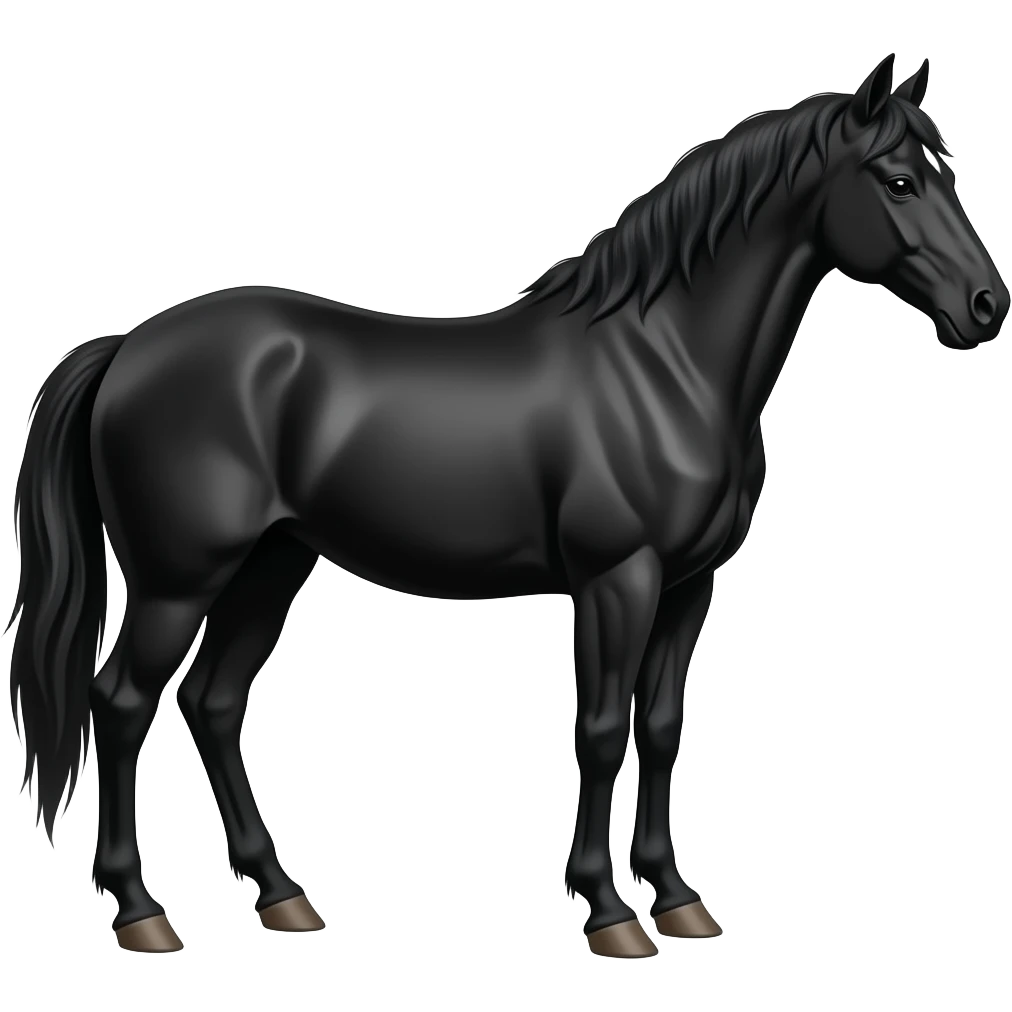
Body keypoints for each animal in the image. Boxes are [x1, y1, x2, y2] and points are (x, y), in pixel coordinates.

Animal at [6, 53, 1007, 957]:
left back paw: (284, 895)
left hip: (271, 563)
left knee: (212, 703)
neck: (663, 366)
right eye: (900, 180)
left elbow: (660, 727)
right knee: (120, 704)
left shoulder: (690, 586)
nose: (986, 305)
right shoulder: (617, 581)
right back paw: (142, 913)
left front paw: (680, 899)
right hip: (179, 581)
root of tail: (130, 347)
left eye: (950, 169)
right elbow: (599, 732)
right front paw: (609, 912)